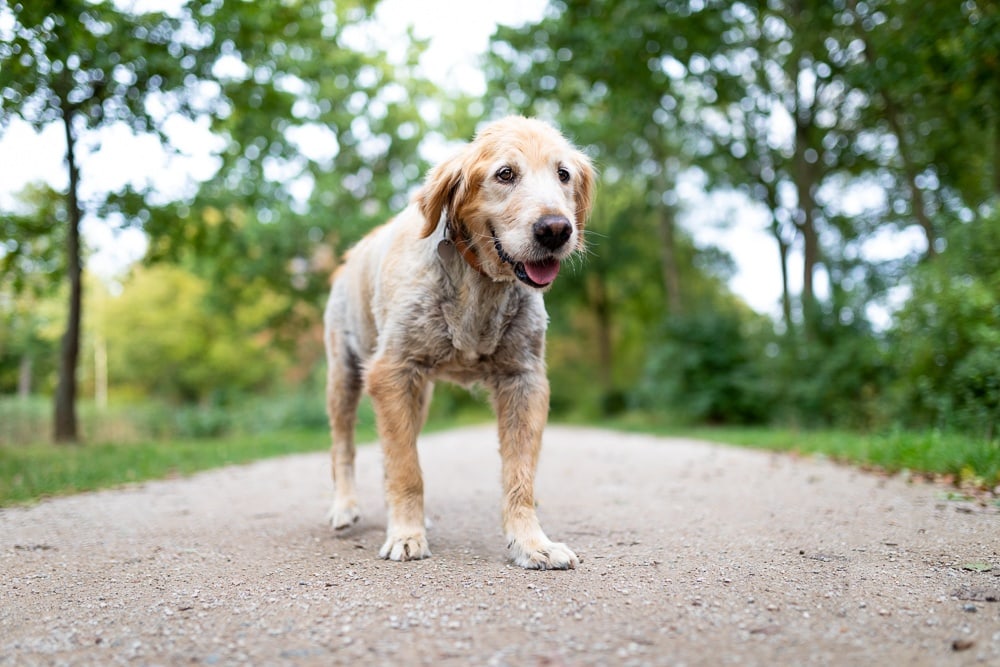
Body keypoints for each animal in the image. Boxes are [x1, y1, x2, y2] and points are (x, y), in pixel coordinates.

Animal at [326, 115, 592, 568]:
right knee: (344, 448)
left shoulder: (524, 379)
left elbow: (520, 476)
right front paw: (406, 535)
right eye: (505, 174)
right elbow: (406, 468)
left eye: (563, 174)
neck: (480, 282)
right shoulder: (392, 371)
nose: (556, 230)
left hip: (419, 396)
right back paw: (345, 507)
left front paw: (531, 543)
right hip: (345, 376)